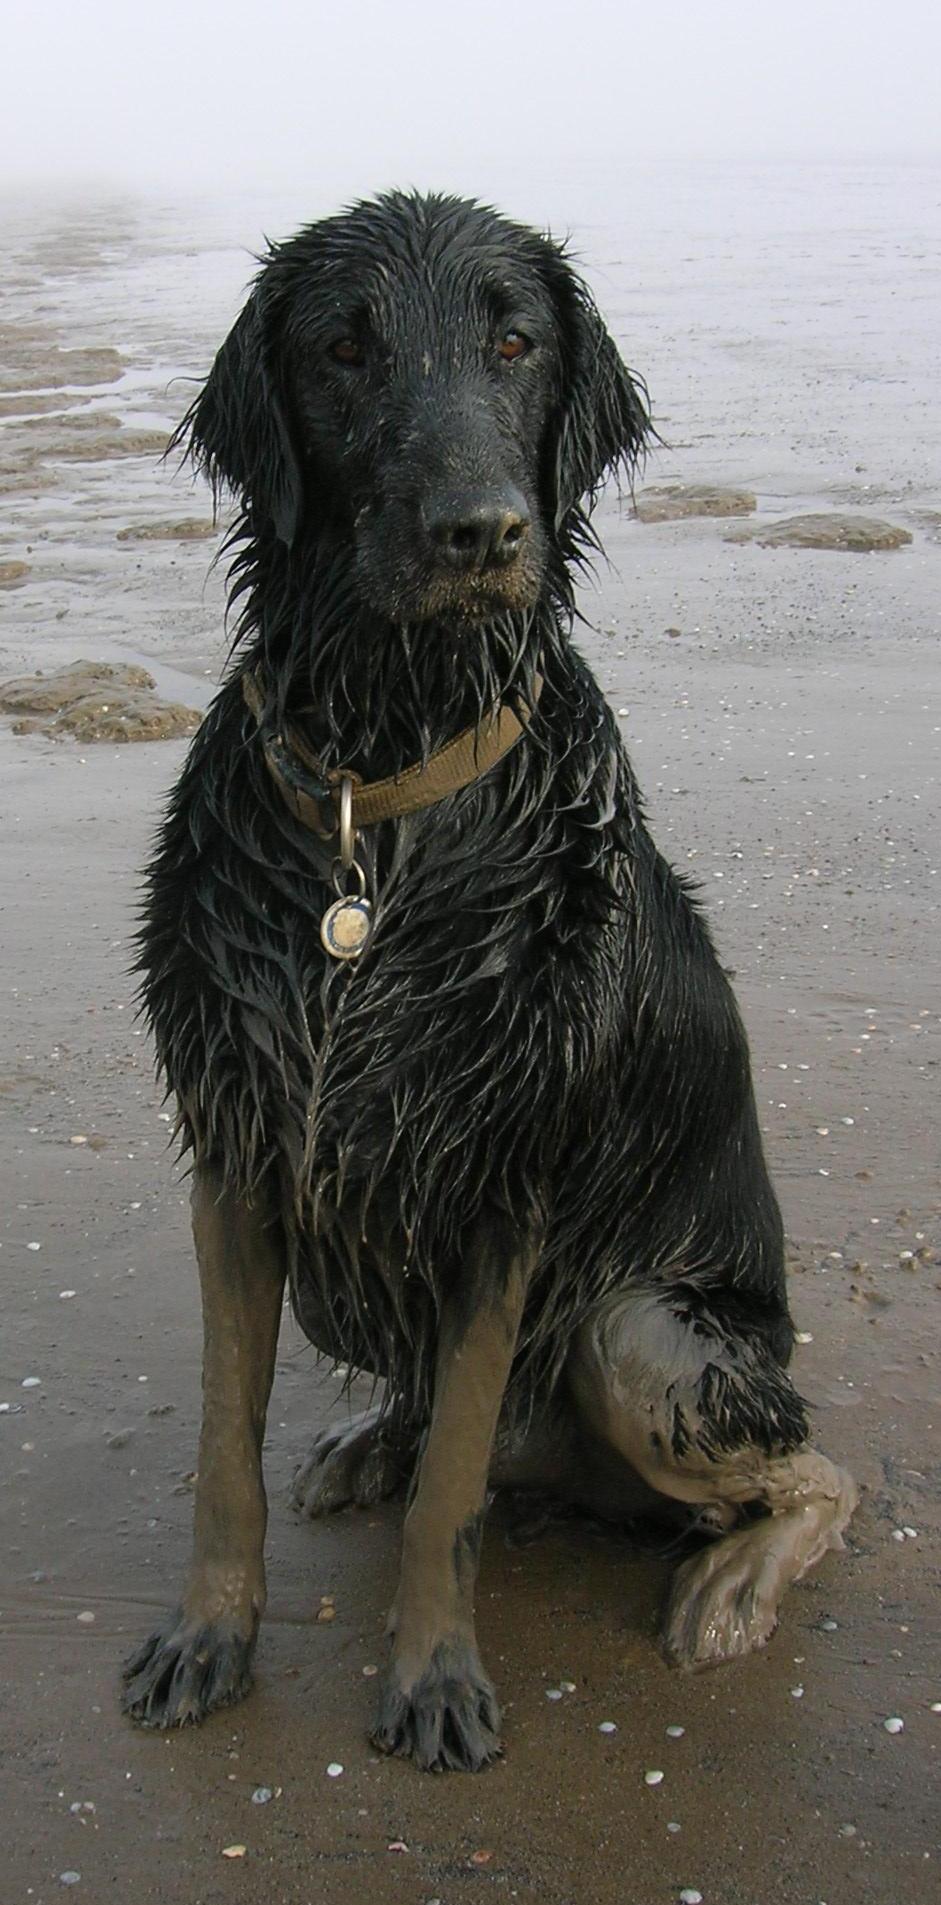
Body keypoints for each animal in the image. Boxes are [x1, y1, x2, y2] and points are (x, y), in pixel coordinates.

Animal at [122, 193, 853, 1767]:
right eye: (344, 349)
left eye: (514, 344)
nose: (479, 532)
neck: (382, 794)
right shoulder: (240, 1148)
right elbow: (222, 1446)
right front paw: (209, 1637)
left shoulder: (504, 1181)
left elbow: (453, 1488)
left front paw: (432, 1676)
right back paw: (364, 1442)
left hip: (646, 1338)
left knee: (814, 1471)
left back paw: (728, 1585)